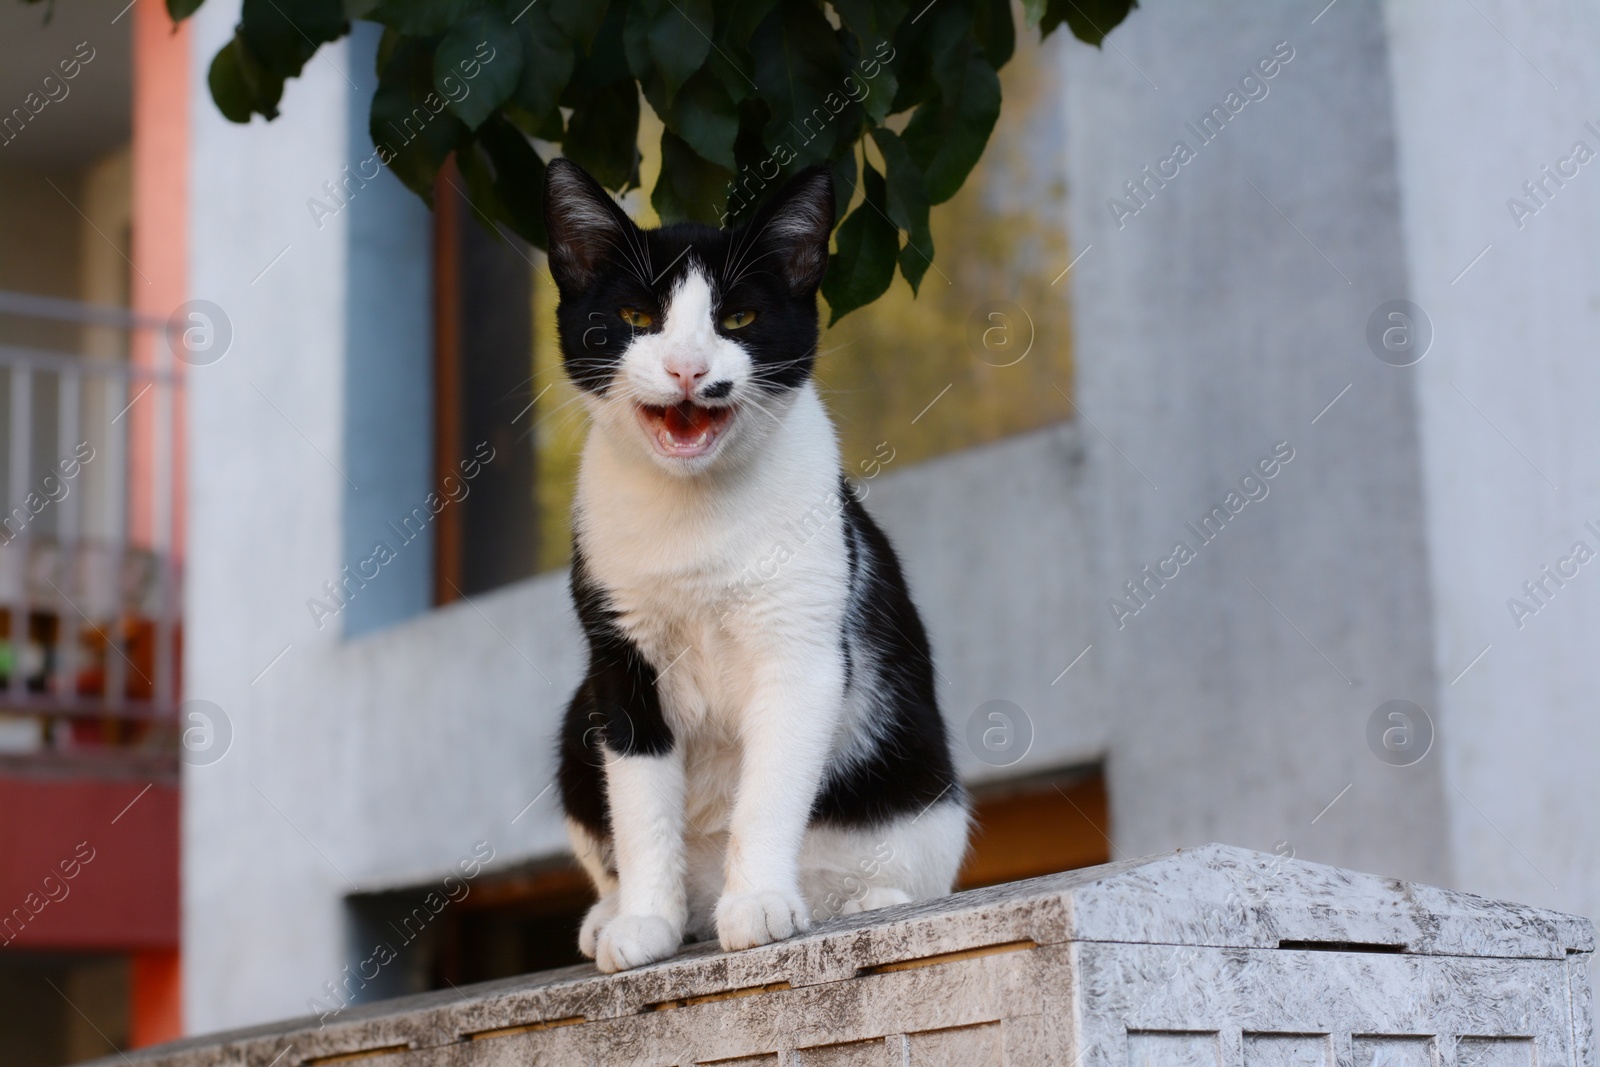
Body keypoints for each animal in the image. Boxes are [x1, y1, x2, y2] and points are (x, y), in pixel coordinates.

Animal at [550, 156, 966, 979]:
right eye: (637, 317)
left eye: (737, 320)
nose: (687, 368)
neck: (695, 516)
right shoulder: (618, 660)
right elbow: (640, 801)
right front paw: (645, 919)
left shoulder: (800, 650)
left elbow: (769, 790)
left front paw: (761, 904)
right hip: (575, 728)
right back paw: (623, 914)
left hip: (922, 800)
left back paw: (855, 900)